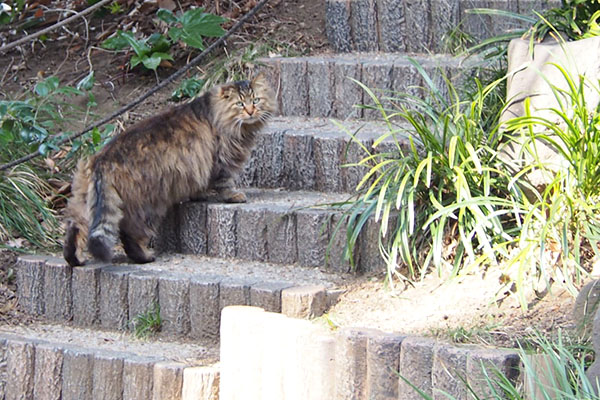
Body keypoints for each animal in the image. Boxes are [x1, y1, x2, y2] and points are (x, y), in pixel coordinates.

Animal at [63, 73, 276, 268]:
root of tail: (102, 160)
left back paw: (76, 260)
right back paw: (145, 257)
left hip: (84, 203)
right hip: (147, 204)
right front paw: (233, 196)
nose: (251, 111)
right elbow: (225, 183)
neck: (217, 113)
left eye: (255, 100)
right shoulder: (222, 159)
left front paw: (199, 195)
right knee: (129, 235)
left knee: (75, 231)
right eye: (240, 104)